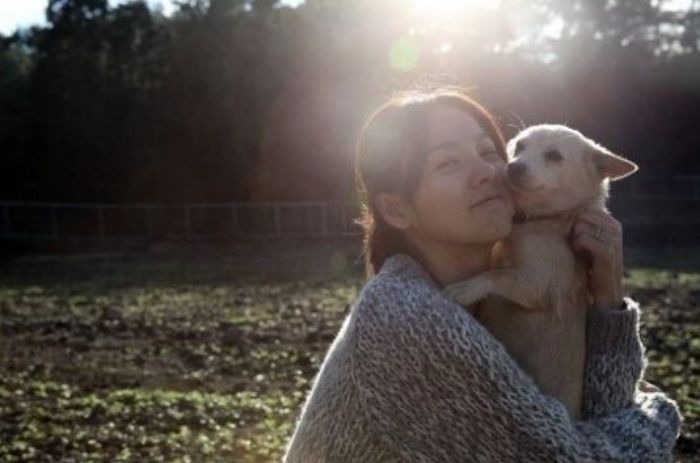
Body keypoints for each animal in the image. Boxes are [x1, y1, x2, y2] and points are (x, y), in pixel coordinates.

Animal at [446, 124, 636, 420]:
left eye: (555, 156)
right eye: (520, 147)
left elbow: (496, 274)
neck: (541, 221)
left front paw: (465, 288)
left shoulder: (535, 285)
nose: (513, 168)